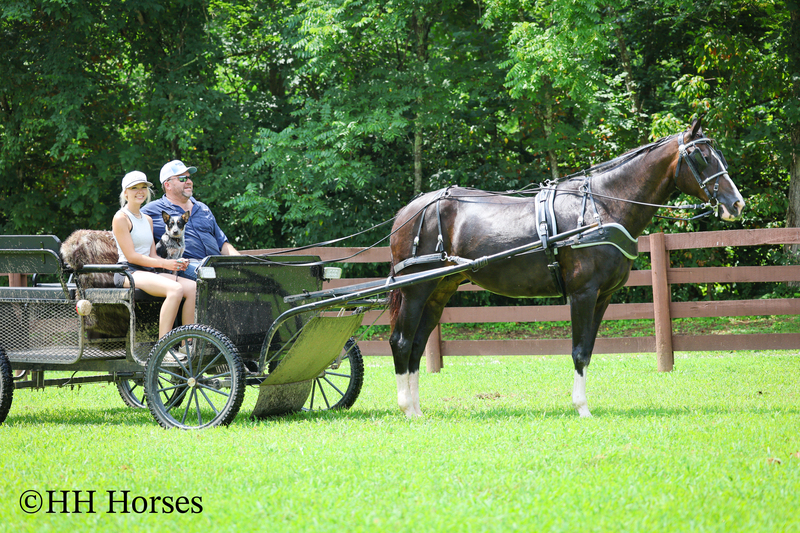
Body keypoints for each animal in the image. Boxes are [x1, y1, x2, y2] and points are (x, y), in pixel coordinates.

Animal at [387, 118, 745, 418]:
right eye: (702, 157)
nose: (737, 204)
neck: (602, 207)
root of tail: (409, 211)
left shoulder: (603, 297)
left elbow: (588, 350)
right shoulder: (582, 293)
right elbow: (578, 351)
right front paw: (582, 408)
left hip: (438, 291)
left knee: (417, 345)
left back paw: (417, 409)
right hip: (415, 289)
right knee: (401, 342)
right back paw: (406, 408)